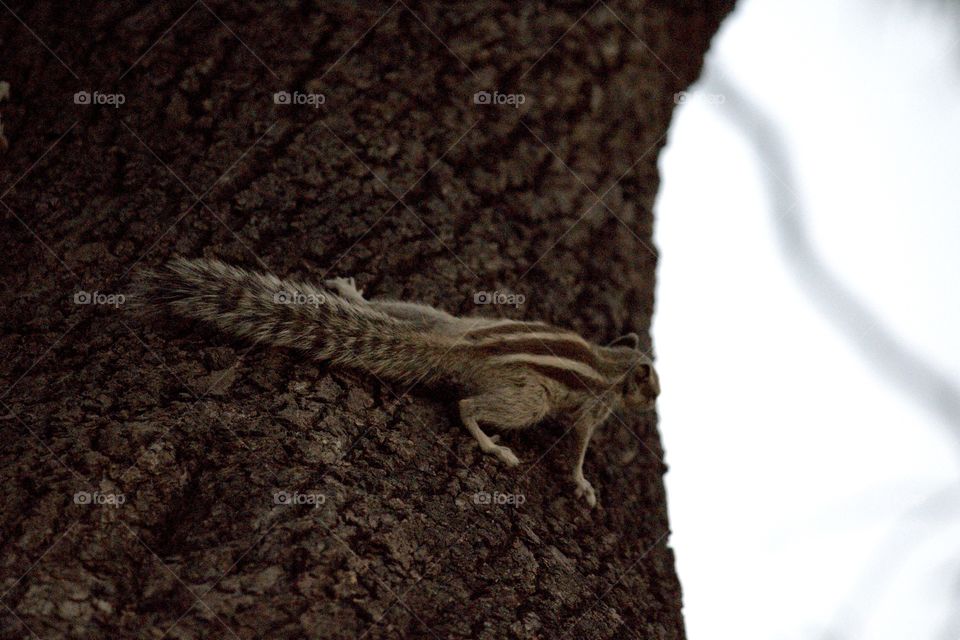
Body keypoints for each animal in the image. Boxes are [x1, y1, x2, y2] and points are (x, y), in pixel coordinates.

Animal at [136, 257, 660, 507]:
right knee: (468, 407)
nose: (656, 400)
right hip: (528, 396)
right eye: (653, 384)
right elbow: (579, 448)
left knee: (396, 312)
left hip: (437, 319)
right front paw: (583, 484)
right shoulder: (594, 408)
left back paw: (353, 295)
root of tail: (461, 347)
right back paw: (492, 446)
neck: (613, 361)